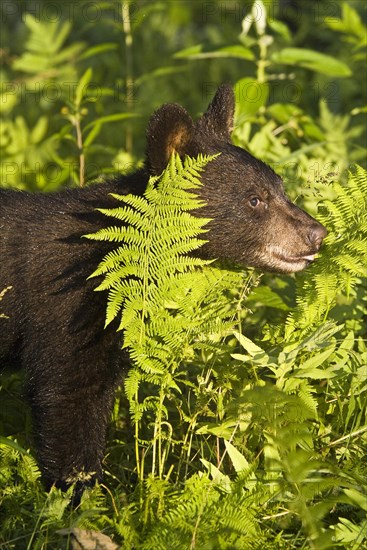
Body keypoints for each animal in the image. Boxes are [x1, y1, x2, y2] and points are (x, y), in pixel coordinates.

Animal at [0, 85, 328, 500]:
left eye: (282, 189)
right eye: (255, 199)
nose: (316, 234)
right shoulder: (65, 312)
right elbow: (68, 399)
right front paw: (81, 496)